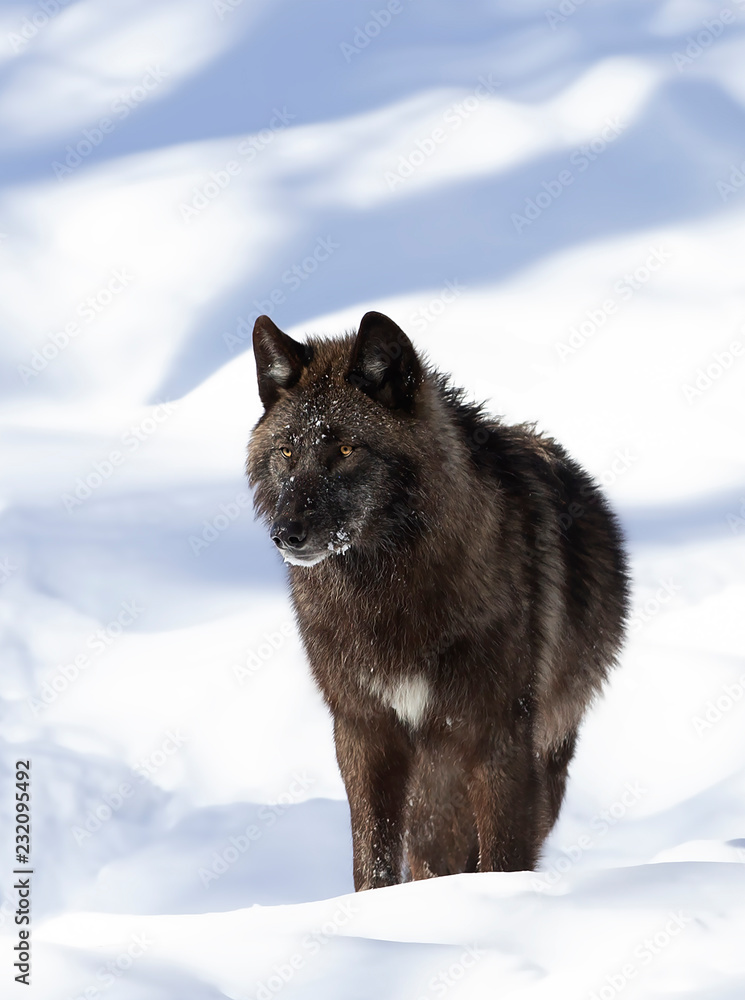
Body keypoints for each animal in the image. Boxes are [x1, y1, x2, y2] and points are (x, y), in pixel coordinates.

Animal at [246, 310, 629, 891]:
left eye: (345, 450)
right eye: (287, 452)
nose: (285, 534)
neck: (388, 590)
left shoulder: (498, 735)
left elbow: (503, 854)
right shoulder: (363, 730)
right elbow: (374, 857)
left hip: (539, 760)